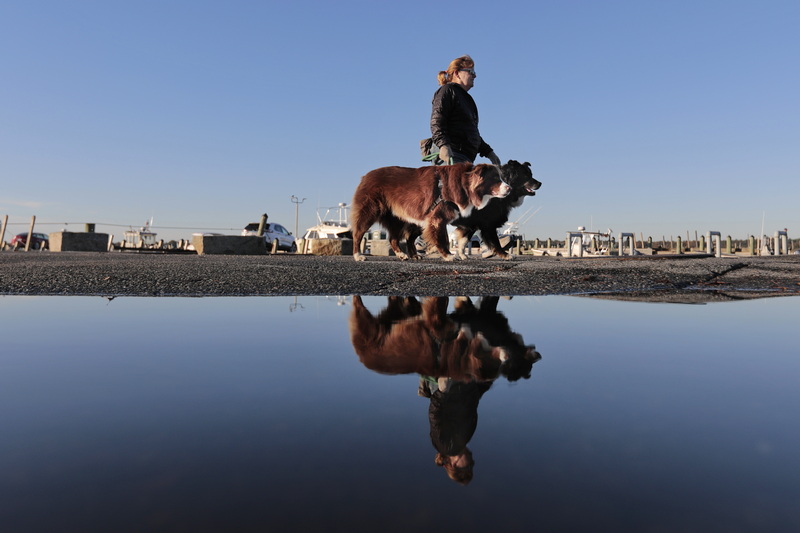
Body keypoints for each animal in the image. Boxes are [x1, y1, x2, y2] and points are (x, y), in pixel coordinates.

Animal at [352, 163, 512, 260]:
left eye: (502, 178)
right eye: (496, 178)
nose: (509, 188)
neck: (463, 183)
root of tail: (365, 176)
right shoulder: (437, 218)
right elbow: (442, 238)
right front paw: (448, 255)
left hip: (400, 218)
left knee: (395, 238)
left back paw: (404, 254)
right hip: (370, 211)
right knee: (358, 234)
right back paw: (358, 255)